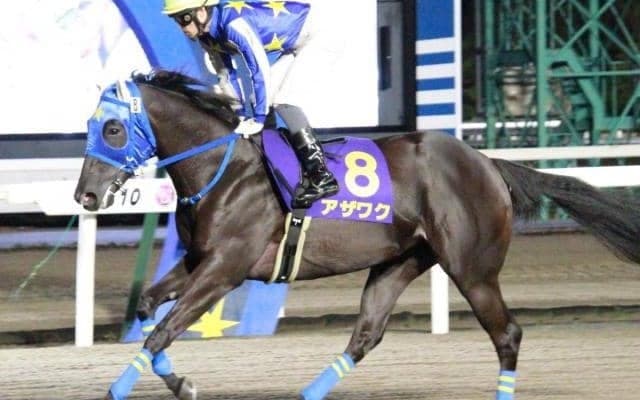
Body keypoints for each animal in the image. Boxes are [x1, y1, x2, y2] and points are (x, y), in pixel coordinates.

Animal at [74, 70, 640, 400]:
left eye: (112, 130)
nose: (85, 196)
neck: (223, 170)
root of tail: (487, 163)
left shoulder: (225, 269)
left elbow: (163, 330)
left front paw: (119, 388)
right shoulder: (200, 260)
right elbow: (149, 309)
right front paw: (182, 382)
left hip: (473, 269)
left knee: (508, 335)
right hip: (399, 261)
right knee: (366, 335)